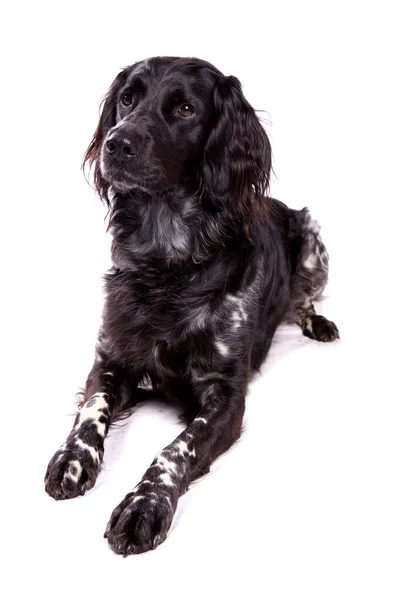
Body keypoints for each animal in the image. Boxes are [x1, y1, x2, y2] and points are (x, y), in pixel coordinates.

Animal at [44, 56, 340, 552]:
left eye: (185, 109)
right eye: (128, 99)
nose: (116, 142)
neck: (169, 261)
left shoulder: (226, 396)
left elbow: (177, 448)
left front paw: (143, 505)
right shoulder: (112, 357)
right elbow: (91, 409)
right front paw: (72, 457)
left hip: (313, 238)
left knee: (305, 300)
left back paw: (318, 324)